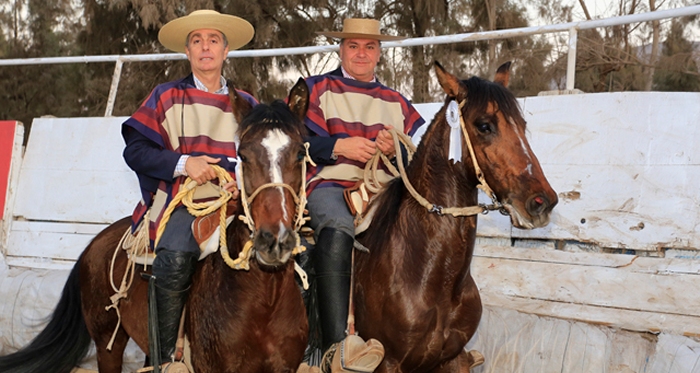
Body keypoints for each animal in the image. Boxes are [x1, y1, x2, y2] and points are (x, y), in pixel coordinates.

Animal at [0, 79, 312, 372]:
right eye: (243, 156)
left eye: (299, 154)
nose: (274, 240)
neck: (263, 299)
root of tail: (94, 243)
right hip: (107, 342)